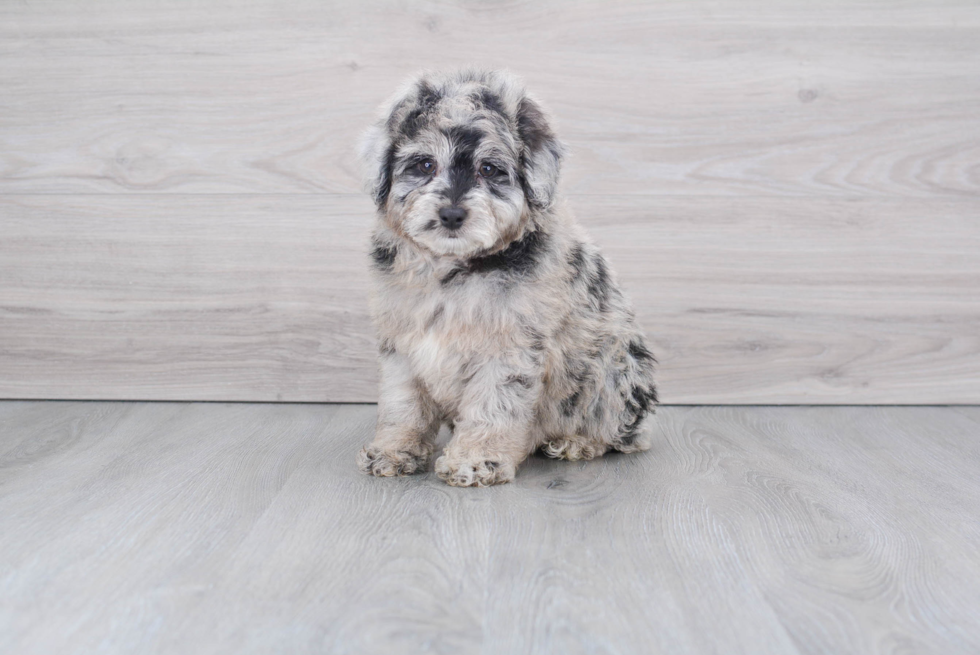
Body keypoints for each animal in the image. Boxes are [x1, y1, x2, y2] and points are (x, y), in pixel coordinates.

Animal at [356, 70, 656, 486]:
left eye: (489, 169)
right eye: (425, 165)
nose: (451, 214)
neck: (452, 270)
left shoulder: (508, 346)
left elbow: (493, 405)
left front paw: (475, 459)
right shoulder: (401, 343)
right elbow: (403, 403)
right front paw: (394, 449)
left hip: (611, 370)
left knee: (619, 434)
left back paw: (576, 442)